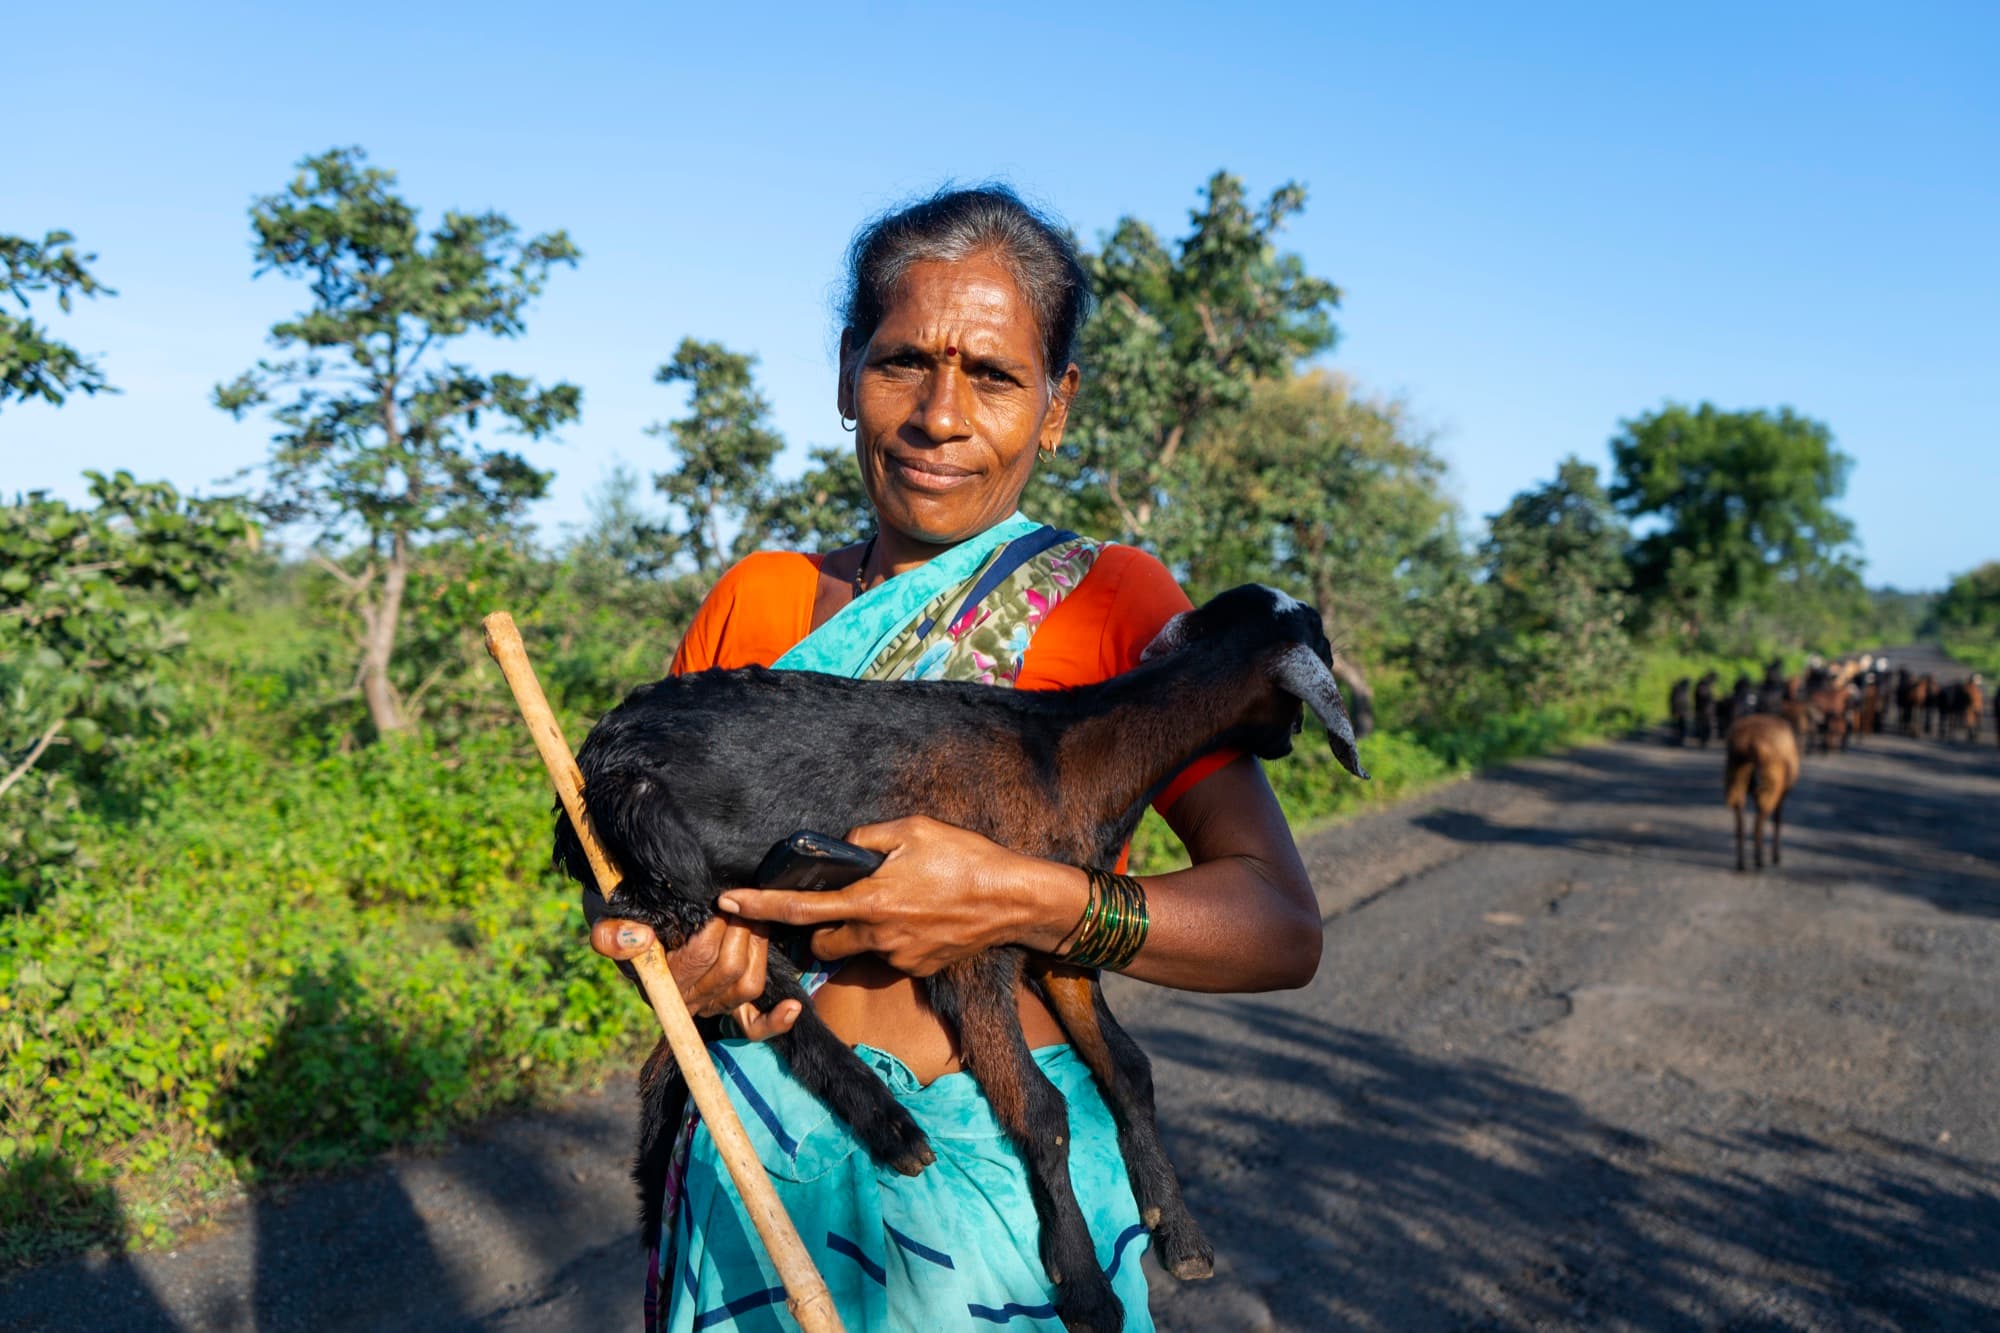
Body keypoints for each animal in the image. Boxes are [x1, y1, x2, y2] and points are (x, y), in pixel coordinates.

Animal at [1725, 713, 1801, 872]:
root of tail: (1751, 743)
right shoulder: (1782, 793)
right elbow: (1777, 820)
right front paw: (1776, 857)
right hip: (1769, 787)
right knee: (1757, 826)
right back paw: (1759, 861)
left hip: (1735, 780)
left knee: (1740, 826)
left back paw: (1741, 864)